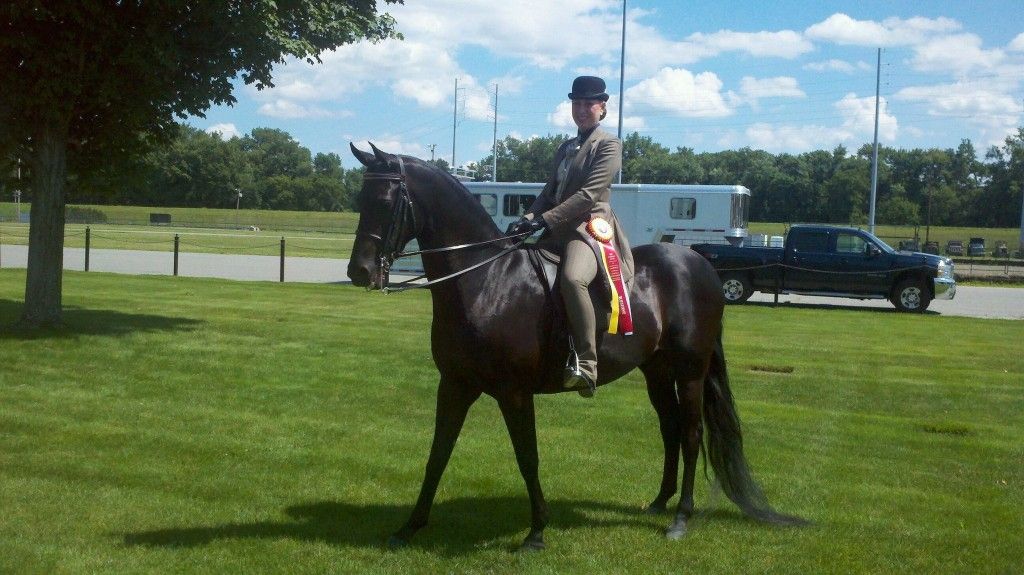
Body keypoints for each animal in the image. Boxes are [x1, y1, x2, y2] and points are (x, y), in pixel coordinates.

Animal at [348, 142, 802, 544]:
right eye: (360, 198)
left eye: (387, 200)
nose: (359, 271)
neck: (486, 281)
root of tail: (701, 264)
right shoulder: (455, 386)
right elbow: (437, 454)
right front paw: (410, 527)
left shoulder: (514, 393)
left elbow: (527, 457)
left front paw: (536, 531)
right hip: (656, 370)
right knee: (670, 428)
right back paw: (659, 503)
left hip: (690, 371)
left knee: (690, 434)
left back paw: (680, 519)